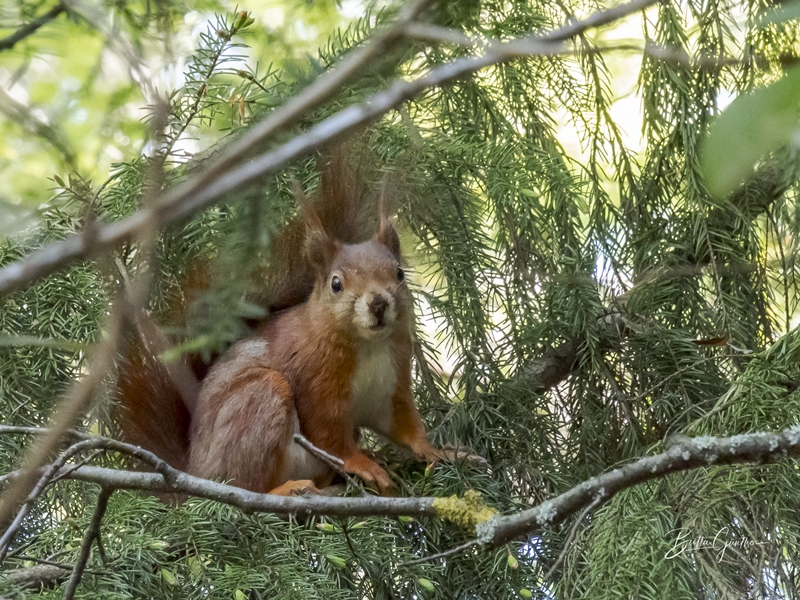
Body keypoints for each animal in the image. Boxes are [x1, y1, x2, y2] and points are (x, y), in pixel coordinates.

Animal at [115, 163, 446, 492]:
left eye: (399, 272)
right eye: (335, 284)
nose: (378, 303)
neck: (368, 345)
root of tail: (195, 471)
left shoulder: (392, 383)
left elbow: (403, 424)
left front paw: (435, 450)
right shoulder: (315, 381)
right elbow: (330, 437)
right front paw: (360, 465)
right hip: (259, 402)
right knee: (247, 485)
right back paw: (289, 489)